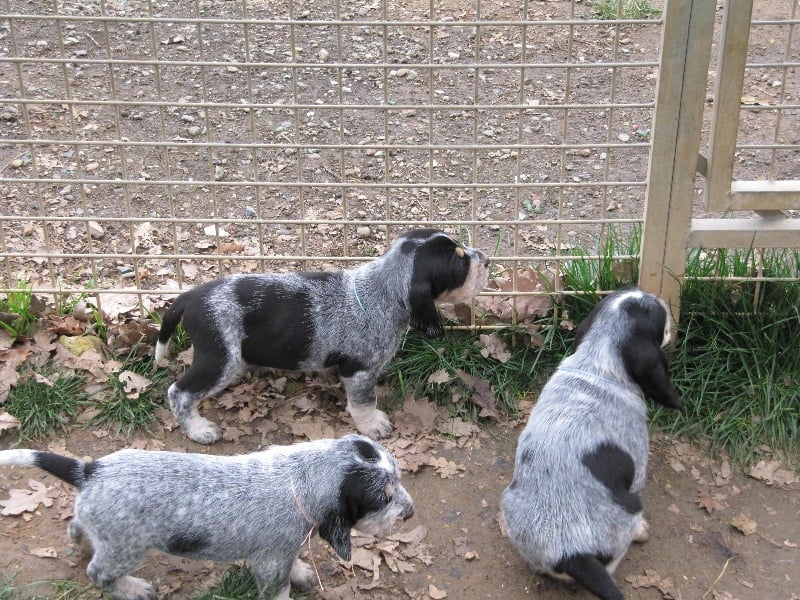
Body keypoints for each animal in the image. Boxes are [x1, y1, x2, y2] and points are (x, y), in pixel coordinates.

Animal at [0, 436, 412, 600]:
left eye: (399, 479)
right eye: (384, 497)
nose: (409, 513)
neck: (298, 478)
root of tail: (88, 470)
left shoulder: (283, 548)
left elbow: (294, 561)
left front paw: (302, 573)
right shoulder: (268, 563)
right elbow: (278, 588)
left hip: (102, 528)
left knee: (77, 527)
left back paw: (81, 543)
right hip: (126, 549)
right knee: (99, 574)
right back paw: (131, 589)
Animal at [154, 227, 490, 442]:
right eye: (459, 262)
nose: (487, 259)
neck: (381, 289)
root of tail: (191, 296)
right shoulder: (359, 370)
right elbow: (364, 402)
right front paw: (372, 425)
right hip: (219, 360)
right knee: (179, 393)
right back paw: (198, 430)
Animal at [500, 288, 680, 600]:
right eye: (657, 313)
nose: (659, 297)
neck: (597, 365)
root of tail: (570, 554)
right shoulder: (638, 468)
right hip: (629, 508)